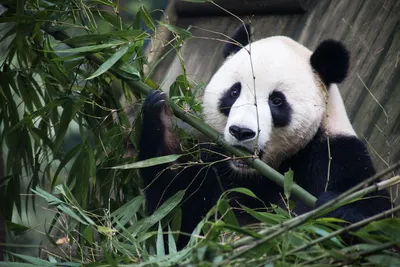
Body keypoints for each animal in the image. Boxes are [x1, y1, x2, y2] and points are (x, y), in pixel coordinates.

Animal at [138, 24, 390, 248]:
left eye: (276, 101)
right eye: (234, 92)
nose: (241, 131)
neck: (256, 173)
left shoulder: (335, 154)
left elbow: (373, 217)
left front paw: (332, 209)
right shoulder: (215, 161)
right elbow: (174, 214)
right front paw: (160, 115)